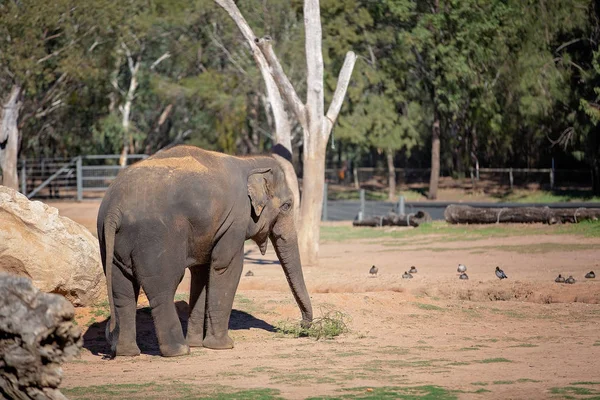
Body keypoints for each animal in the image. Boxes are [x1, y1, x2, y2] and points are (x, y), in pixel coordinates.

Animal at [97, 145, 314, 358]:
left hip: (112, 245)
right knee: (162, 288)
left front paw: (199, 343)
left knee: (122, 291)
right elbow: (226, 267)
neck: (248, 161)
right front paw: (223, 346)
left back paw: (127, 352)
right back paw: (180, 350)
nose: (302, 325)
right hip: (155, 239)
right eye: (287, 205)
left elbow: (201, 273)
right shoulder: (235, 220)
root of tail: (114, 209)